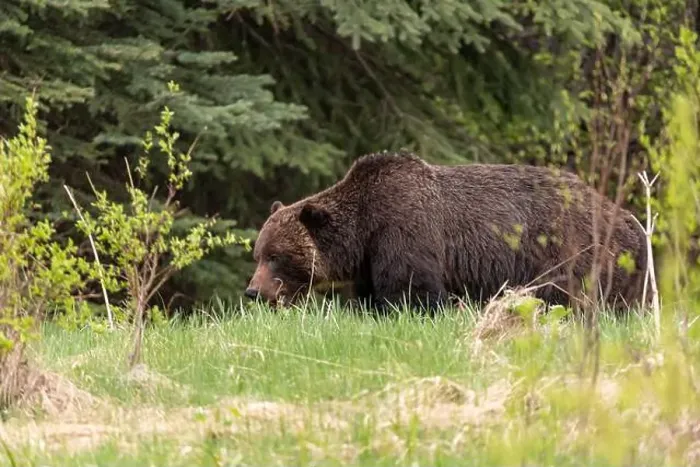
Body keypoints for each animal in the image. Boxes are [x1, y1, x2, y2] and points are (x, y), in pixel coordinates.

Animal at [245, 150, 648, 313]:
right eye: (258, 254)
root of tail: (630, 219)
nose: (253, 291)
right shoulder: (372, 257)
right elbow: (373, 295)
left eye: (276, 256)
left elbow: (413, 290)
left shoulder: (405, 229)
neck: (363, 230)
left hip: (572, 251)